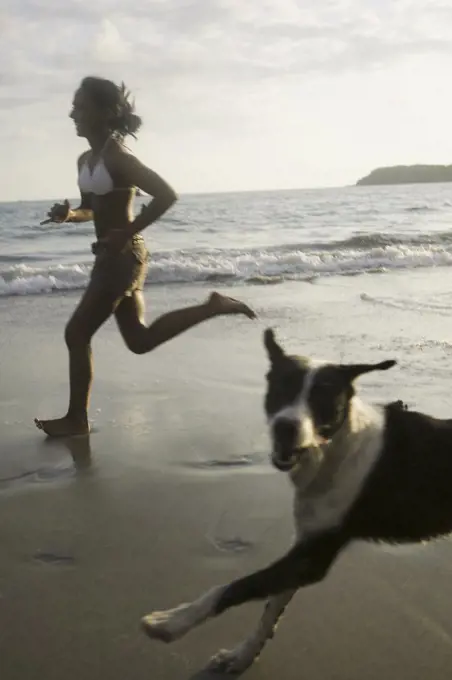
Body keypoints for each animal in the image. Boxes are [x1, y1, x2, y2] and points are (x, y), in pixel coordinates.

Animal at [141, 330, 452, 676]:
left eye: (323, 399)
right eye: (280, 390)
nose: (285, 428)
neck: (335, 448)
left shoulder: (312, 556)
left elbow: (236, 586)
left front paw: (172, 621)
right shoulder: (303, 546)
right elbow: (270, 608)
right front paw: (242, 655)